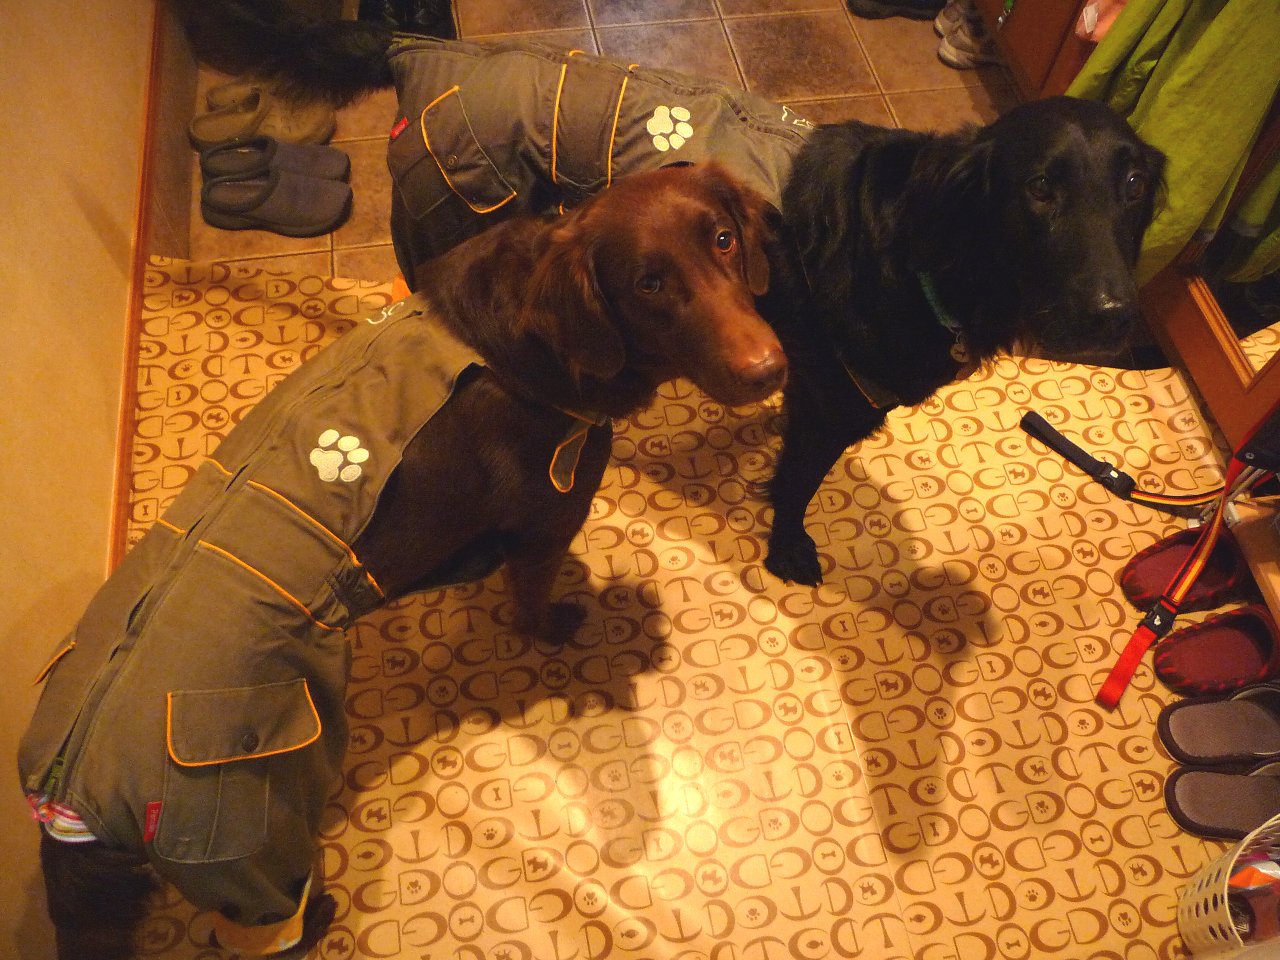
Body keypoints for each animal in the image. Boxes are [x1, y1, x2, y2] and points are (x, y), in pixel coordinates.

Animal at [19, 162, 783, 960]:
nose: (770, 370)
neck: (525, 339)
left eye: (724, 240)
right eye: (647, 284)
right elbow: (533, 604)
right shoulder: (547, 521)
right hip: (248, 834)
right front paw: (558, 624)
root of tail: (66, 798)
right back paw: (319, 917)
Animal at [167, 20, 1166, 587]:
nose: (1115, 313)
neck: (914, 249)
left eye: (1130, 188)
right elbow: (796, 487)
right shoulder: (832, 408)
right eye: (1038, 191)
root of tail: (423, 46)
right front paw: (788, 552)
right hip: (445, 225)